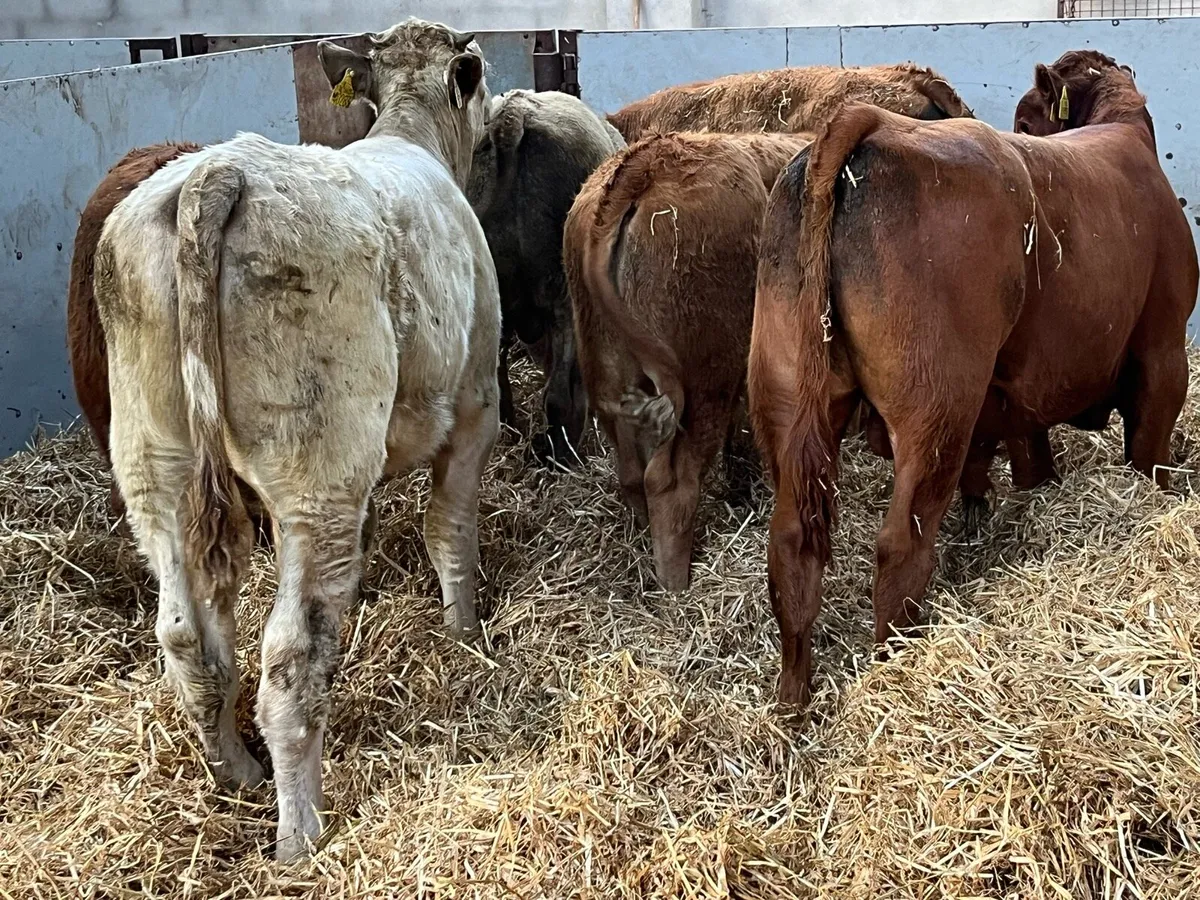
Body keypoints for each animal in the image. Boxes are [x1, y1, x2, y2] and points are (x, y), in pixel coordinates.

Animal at [94, 20, 499, 861]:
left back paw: (235, 773)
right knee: (289, 658)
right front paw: (463, 632)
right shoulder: (476, 405)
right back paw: (298, 834)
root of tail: (215, 172)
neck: (408, 135)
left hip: (154, 462)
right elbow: (451, 530)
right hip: (317, 470)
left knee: (186, 636)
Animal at [565, 131, 812, 590]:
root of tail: (644, 163)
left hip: (609, 373)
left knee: (632, 472)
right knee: (671, 483)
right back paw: (676, 585)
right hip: (705, 380)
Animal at [748, 51, 1197, 708]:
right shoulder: (1163, 353)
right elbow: (1148, 454)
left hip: (789, 398)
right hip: (936, 407)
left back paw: (794, 703)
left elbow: (1024, 460)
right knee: (901, 546)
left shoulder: (1014, 393)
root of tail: (873, 125)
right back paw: (895, 667)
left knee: (791, 547)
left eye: (1027, 119)